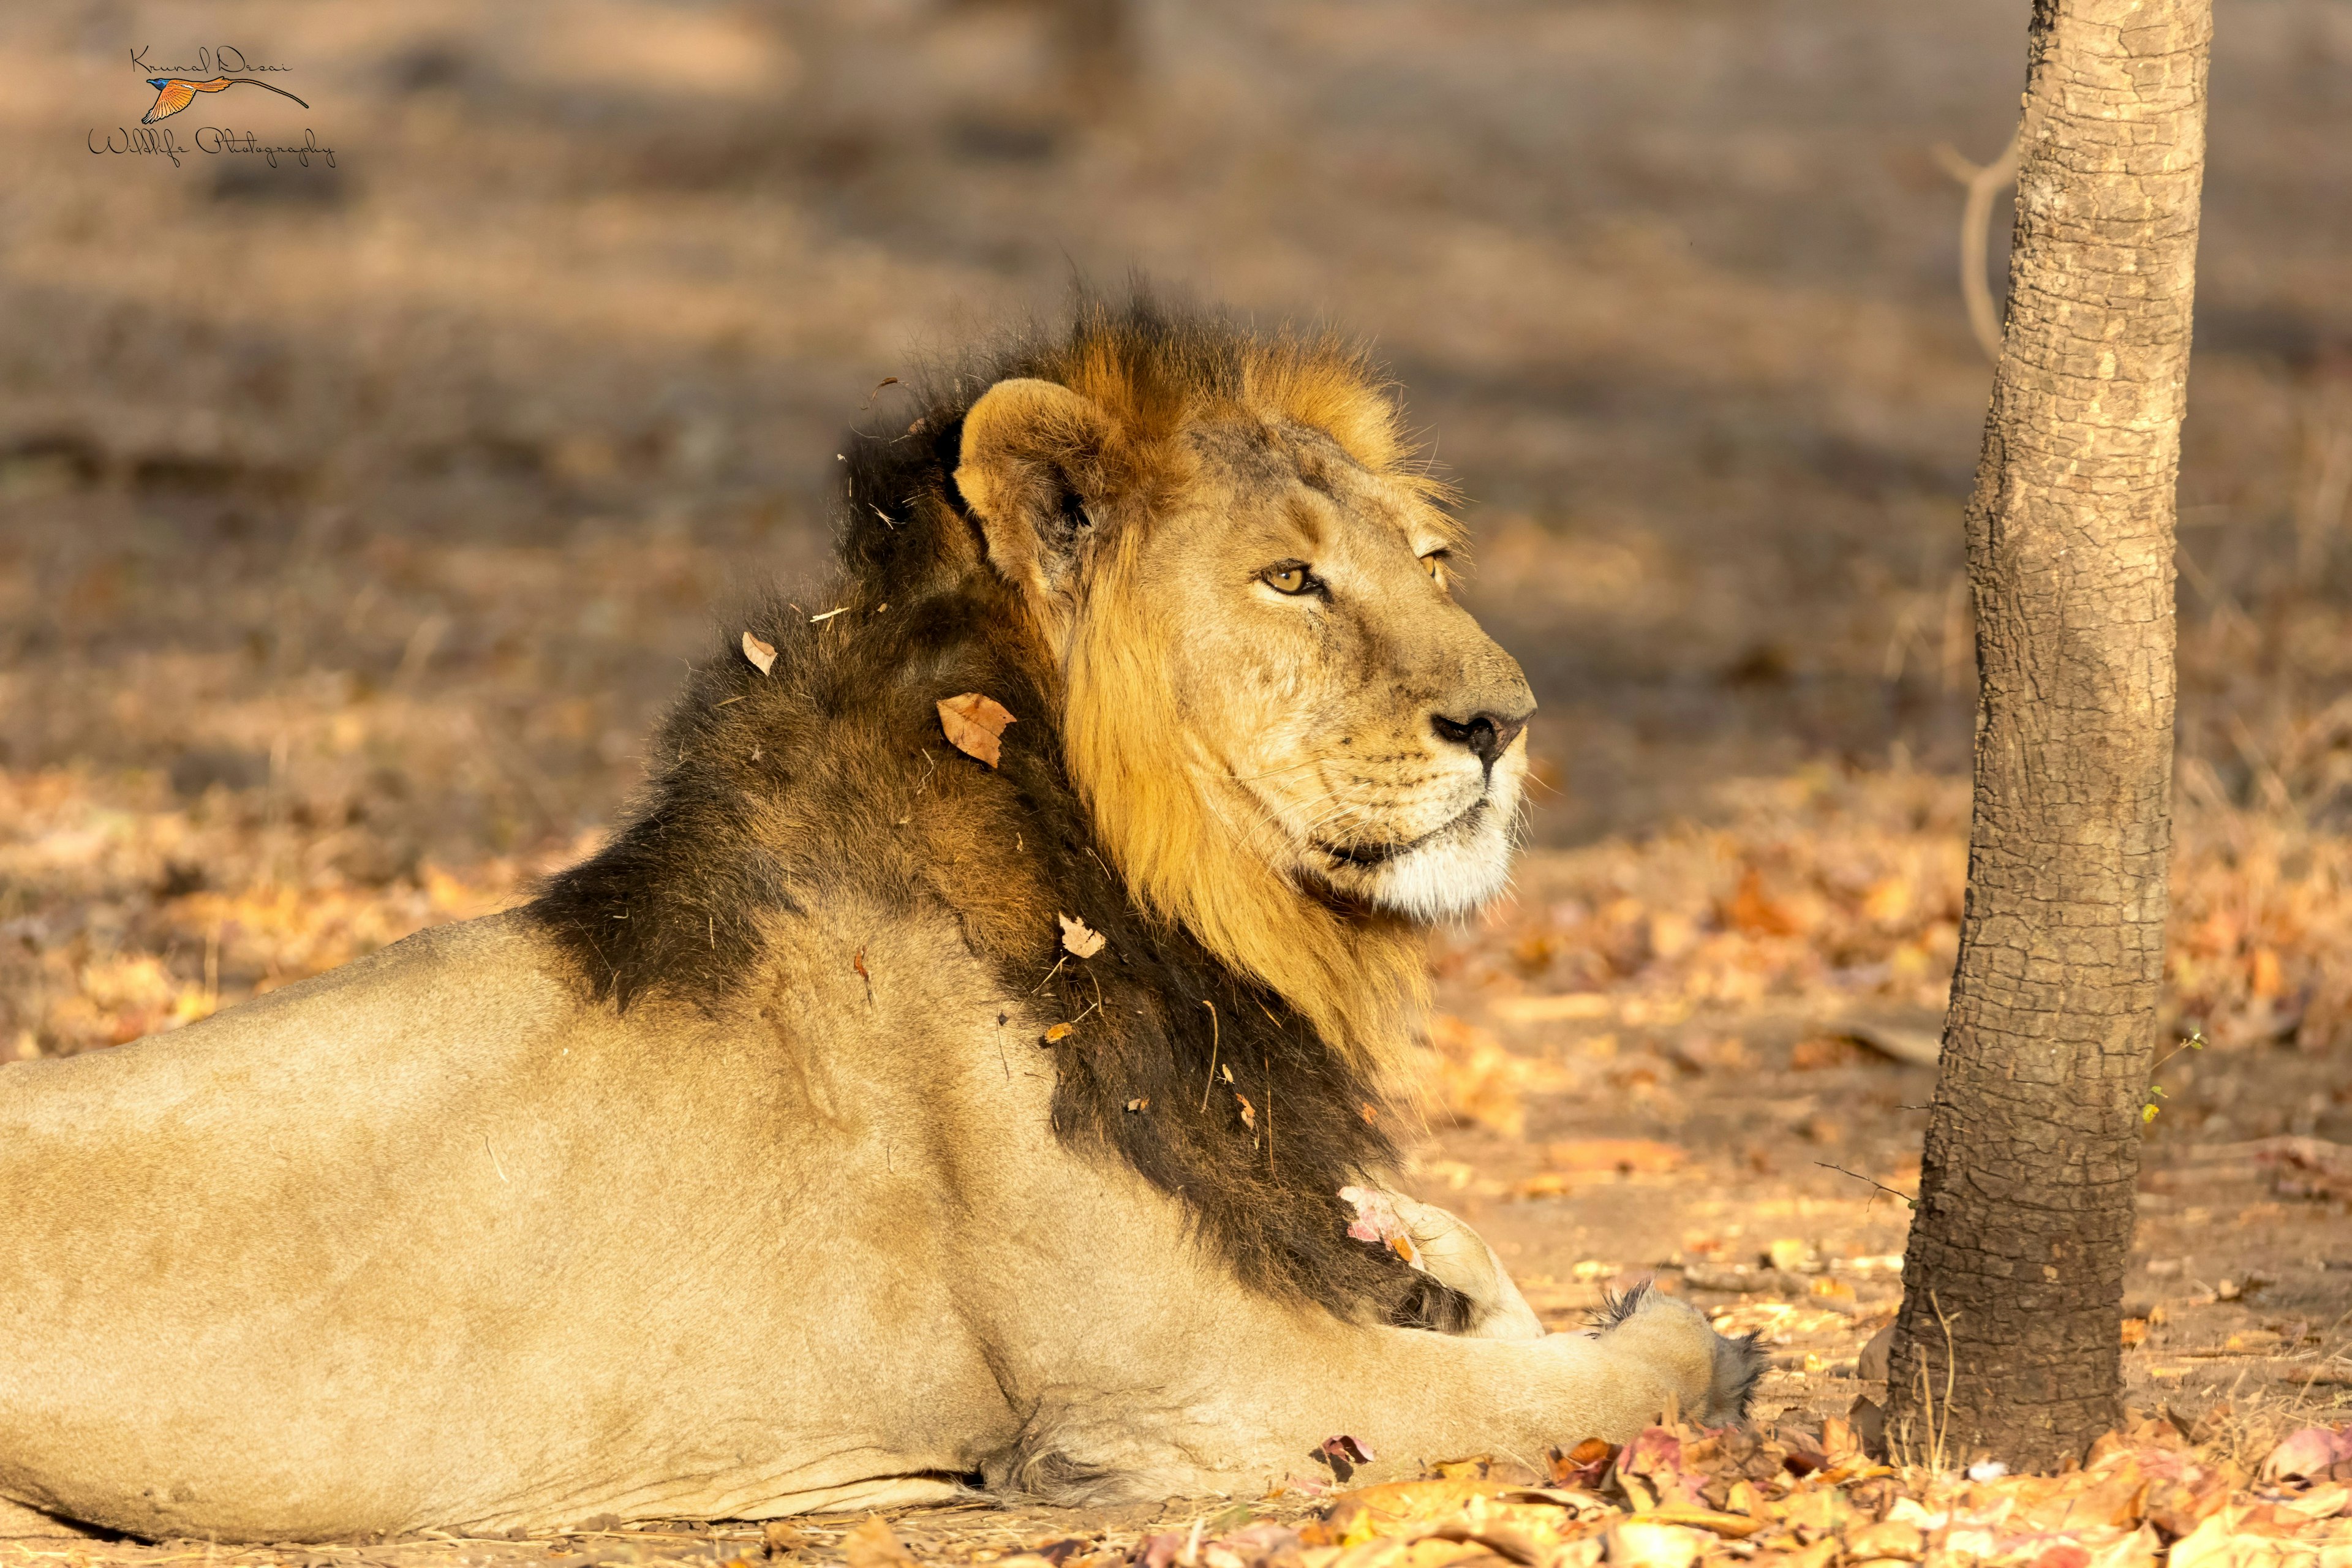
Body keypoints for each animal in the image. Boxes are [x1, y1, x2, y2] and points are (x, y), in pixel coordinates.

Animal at [0, 301, 1768, 1542]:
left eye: (1434, 558)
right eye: (1290, 580)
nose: (1509, 723)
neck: (1175, 899)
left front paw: (1438, 1246)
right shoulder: (1196, 1390)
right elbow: (1541, 1390)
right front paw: (1695, 1338)